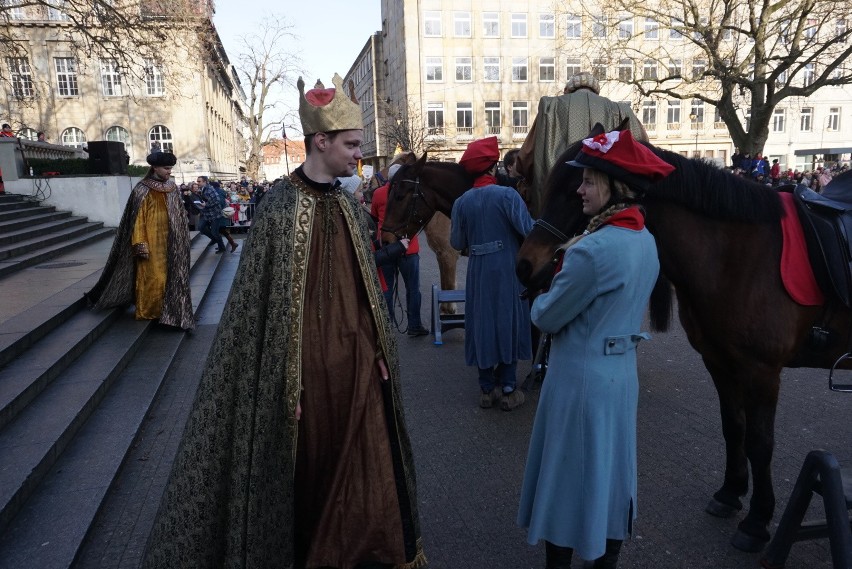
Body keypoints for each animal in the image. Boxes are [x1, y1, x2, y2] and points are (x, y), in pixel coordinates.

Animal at [516, 134, 852, 552]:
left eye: (576, 189)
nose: (525, 265)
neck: (737, 253)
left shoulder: (761, 372)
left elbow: (760, 442)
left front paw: (757, 520)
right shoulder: (719, 361)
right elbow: (733, 427)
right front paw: (730, 492)